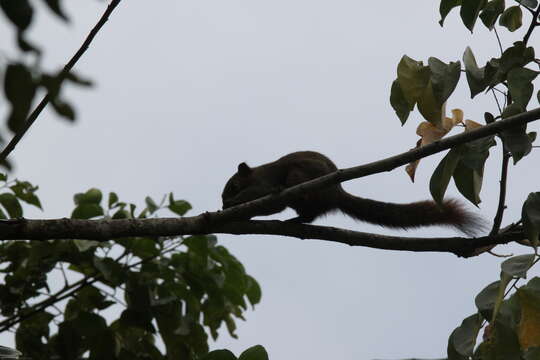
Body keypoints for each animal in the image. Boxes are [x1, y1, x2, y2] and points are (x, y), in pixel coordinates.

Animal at [221, 150, 484, 235]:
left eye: (232, 186)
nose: (223, 203)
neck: (254, 175)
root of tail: (337, 194)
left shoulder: (265, 185)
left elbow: (269, 202)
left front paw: (232, 208)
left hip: (300, 175)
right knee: (310, 215)